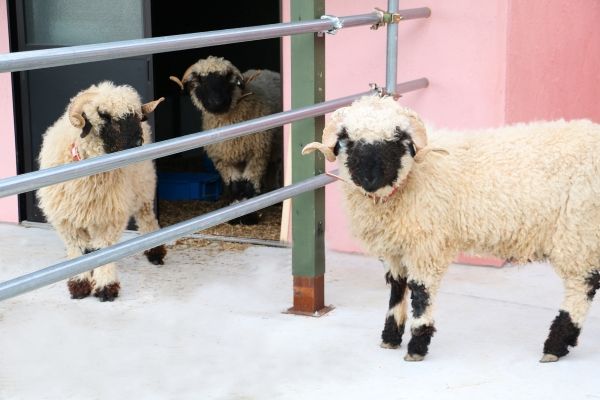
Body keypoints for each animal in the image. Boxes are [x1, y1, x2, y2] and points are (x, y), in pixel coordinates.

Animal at [36, 80, 168, 300]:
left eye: (136, 116)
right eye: (103, 115)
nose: (137, 143)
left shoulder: (109, 217)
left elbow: (105, 250)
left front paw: (106, 287)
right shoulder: (66, 219)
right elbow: (77, 249)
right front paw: (79, 285)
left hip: (144, 186)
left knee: (147, 218)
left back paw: (155, 252)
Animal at [169, 56, 282, 225]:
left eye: (226, 79)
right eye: (200, 81)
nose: (217, 102)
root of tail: (267, 71)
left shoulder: (257, 154)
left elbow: (249, 183)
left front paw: (250, 217)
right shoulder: (223, 159)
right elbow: (234, 186)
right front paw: (236, 214)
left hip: (274, 148)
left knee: (275, 169)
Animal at [304, 94, 600, 362]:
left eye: (398, 140)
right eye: (348, 139)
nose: (370, 178)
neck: (412, 179)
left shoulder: (426, 244)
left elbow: (421, 292)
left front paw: (417, 345)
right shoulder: (396, 248)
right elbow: (397, 288)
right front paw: (390, 337)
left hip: (577, 230)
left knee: (581, 285)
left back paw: (555, 345)